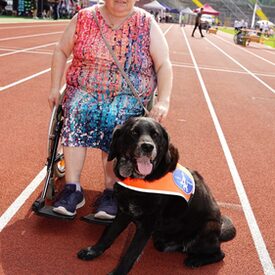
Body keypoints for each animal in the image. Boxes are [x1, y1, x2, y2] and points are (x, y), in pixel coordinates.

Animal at [78, 117, 237, 275]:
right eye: (134, 133)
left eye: (155, 135)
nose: (148, 147)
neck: (139, 179)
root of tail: (220, 232)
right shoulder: (123, 212)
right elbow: (108, 235)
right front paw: (93, 251)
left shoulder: (147, 225)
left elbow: (130, 254)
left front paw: (117, 273)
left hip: (207, 228)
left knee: (219, 254)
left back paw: (195, 260)